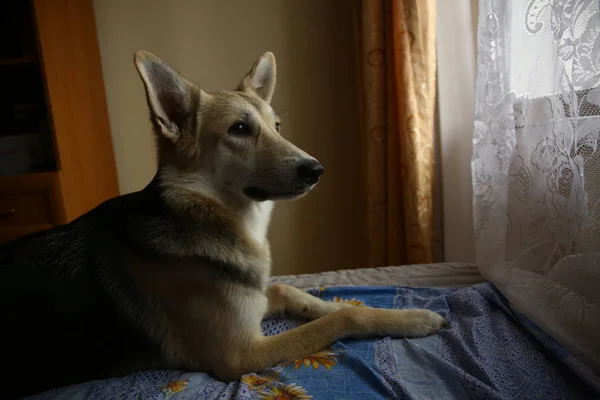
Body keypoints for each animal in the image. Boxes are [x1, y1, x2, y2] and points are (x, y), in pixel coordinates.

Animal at [0, 51, 446, 398]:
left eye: (277, 126)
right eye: (239, 129)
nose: (317, 170)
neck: (217, 216)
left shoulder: (256, 301)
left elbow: (305, 296)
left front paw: (384, 311)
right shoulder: (240, 354)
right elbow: (342, 319)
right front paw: (413, 320)